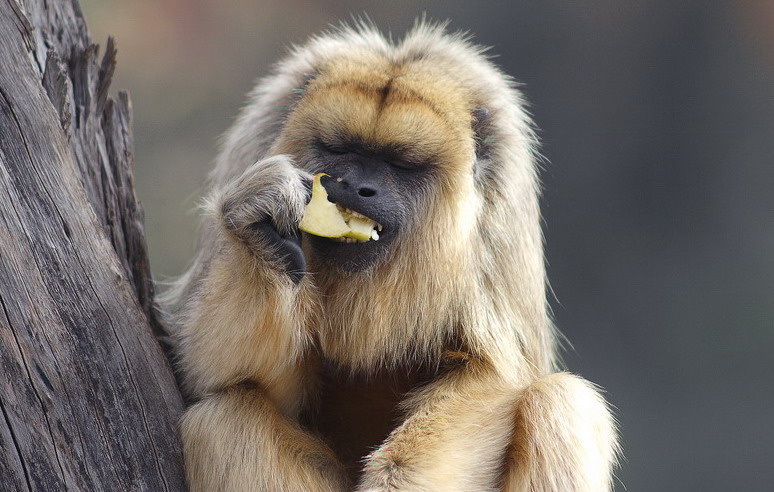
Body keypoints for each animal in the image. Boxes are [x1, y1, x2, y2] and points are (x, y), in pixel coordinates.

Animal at [161, 21, 620, 492]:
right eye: (340, 149)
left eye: (400, 163)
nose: (357, 187)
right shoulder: (255, 142)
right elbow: (224, 379)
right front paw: (260, 234)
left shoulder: (504, 193)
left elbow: (490, 374)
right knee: (222, 418)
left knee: (560, 401)